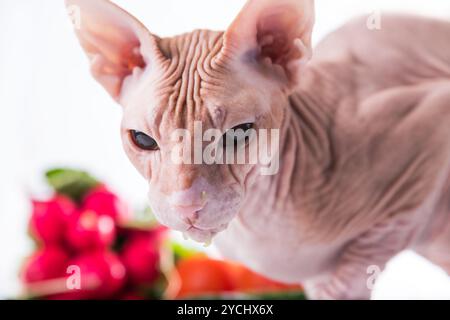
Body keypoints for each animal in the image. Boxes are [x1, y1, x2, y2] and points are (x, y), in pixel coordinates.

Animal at [66, 0, 450, 300]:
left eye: (240, 132)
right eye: (143, 140)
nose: (187, 204)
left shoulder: (431, 126)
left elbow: (364, 256)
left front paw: (340, 284)